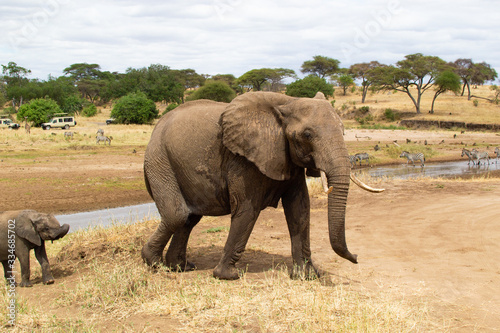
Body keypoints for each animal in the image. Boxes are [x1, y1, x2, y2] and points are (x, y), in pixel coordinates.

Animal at [141, 90, 382, 278]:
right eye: (307, 135)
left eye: (343, 131)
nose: (357, 257)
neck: (287, 102)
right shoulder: (243, 158)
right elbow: (248, 208)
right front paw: (228, 275)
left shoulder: (286, 157)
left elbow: (300, 209)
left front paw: (307, 276)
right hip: (159, 159)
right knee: (177, 214)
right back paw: (154, 263)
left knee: (190, 219)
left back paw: (180, 267)